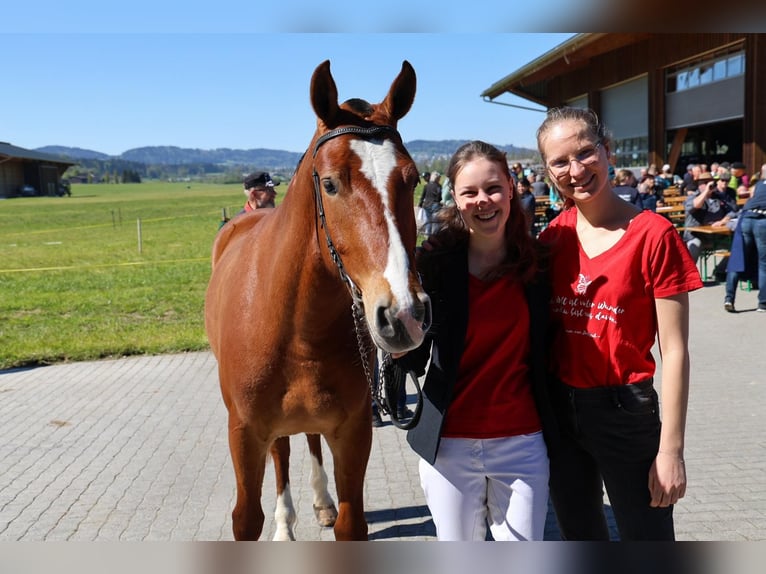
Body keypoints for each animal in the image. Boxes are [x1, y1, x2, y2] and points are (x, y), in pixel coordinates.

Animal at [206, 60, 432, 544]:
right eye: (329, 184)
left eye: (413, 179)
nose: (404, 314)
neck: (296, 328)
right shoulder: (244, 434)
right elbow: (247, 518)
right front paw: (278, 524)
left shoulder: (352, 431)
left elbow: (350, 521)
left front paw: (330, 507)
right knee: (282, 453)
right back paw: (285, 523)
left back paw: (320, 501)